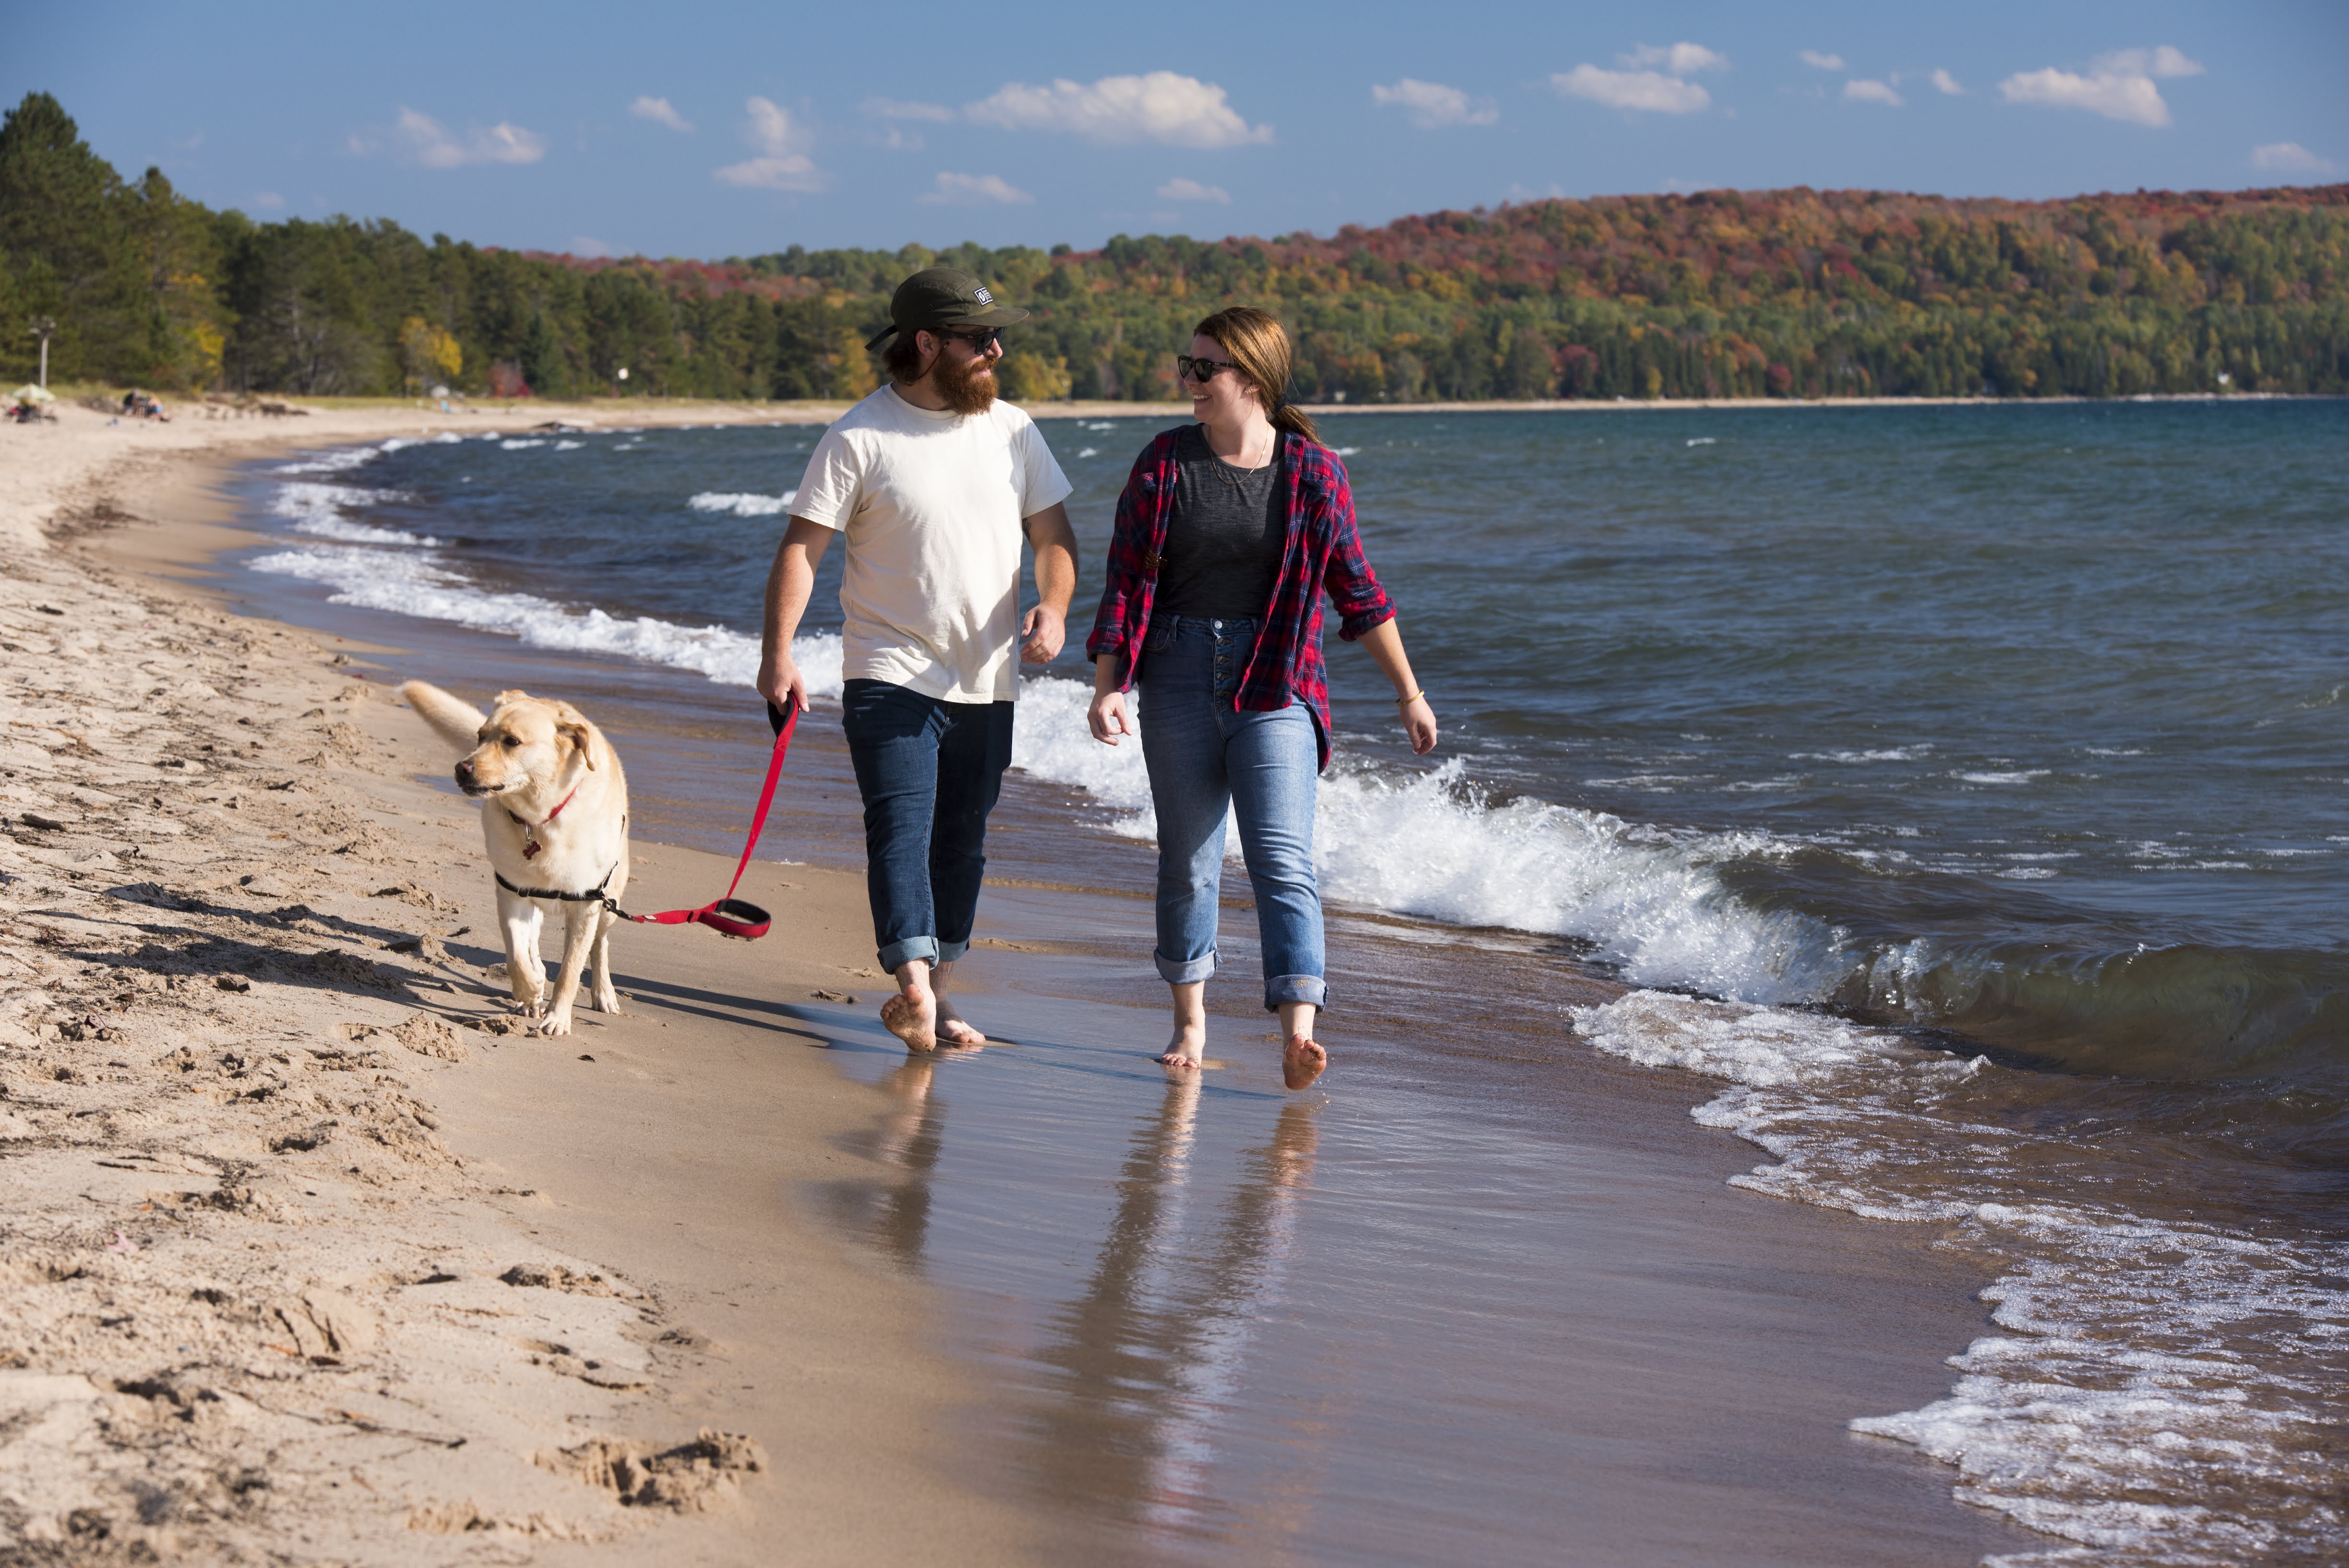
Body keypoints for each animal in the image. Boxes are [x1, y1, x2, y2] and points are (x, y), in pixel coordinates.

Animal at [404, 680, 629, 1028]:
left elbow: (571, 969)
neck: (540, 820)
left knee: (599, 945)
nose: (461, 768)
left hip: (610, 898)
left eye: (512, 741)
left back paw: (603, 994)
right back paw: (532, 993)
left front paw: (557, 1018)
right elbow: (515, 954)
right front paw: (530, 990)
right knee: (532, 944)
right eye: (480, 736)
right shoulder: (511, 892)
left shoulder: (587, 903)